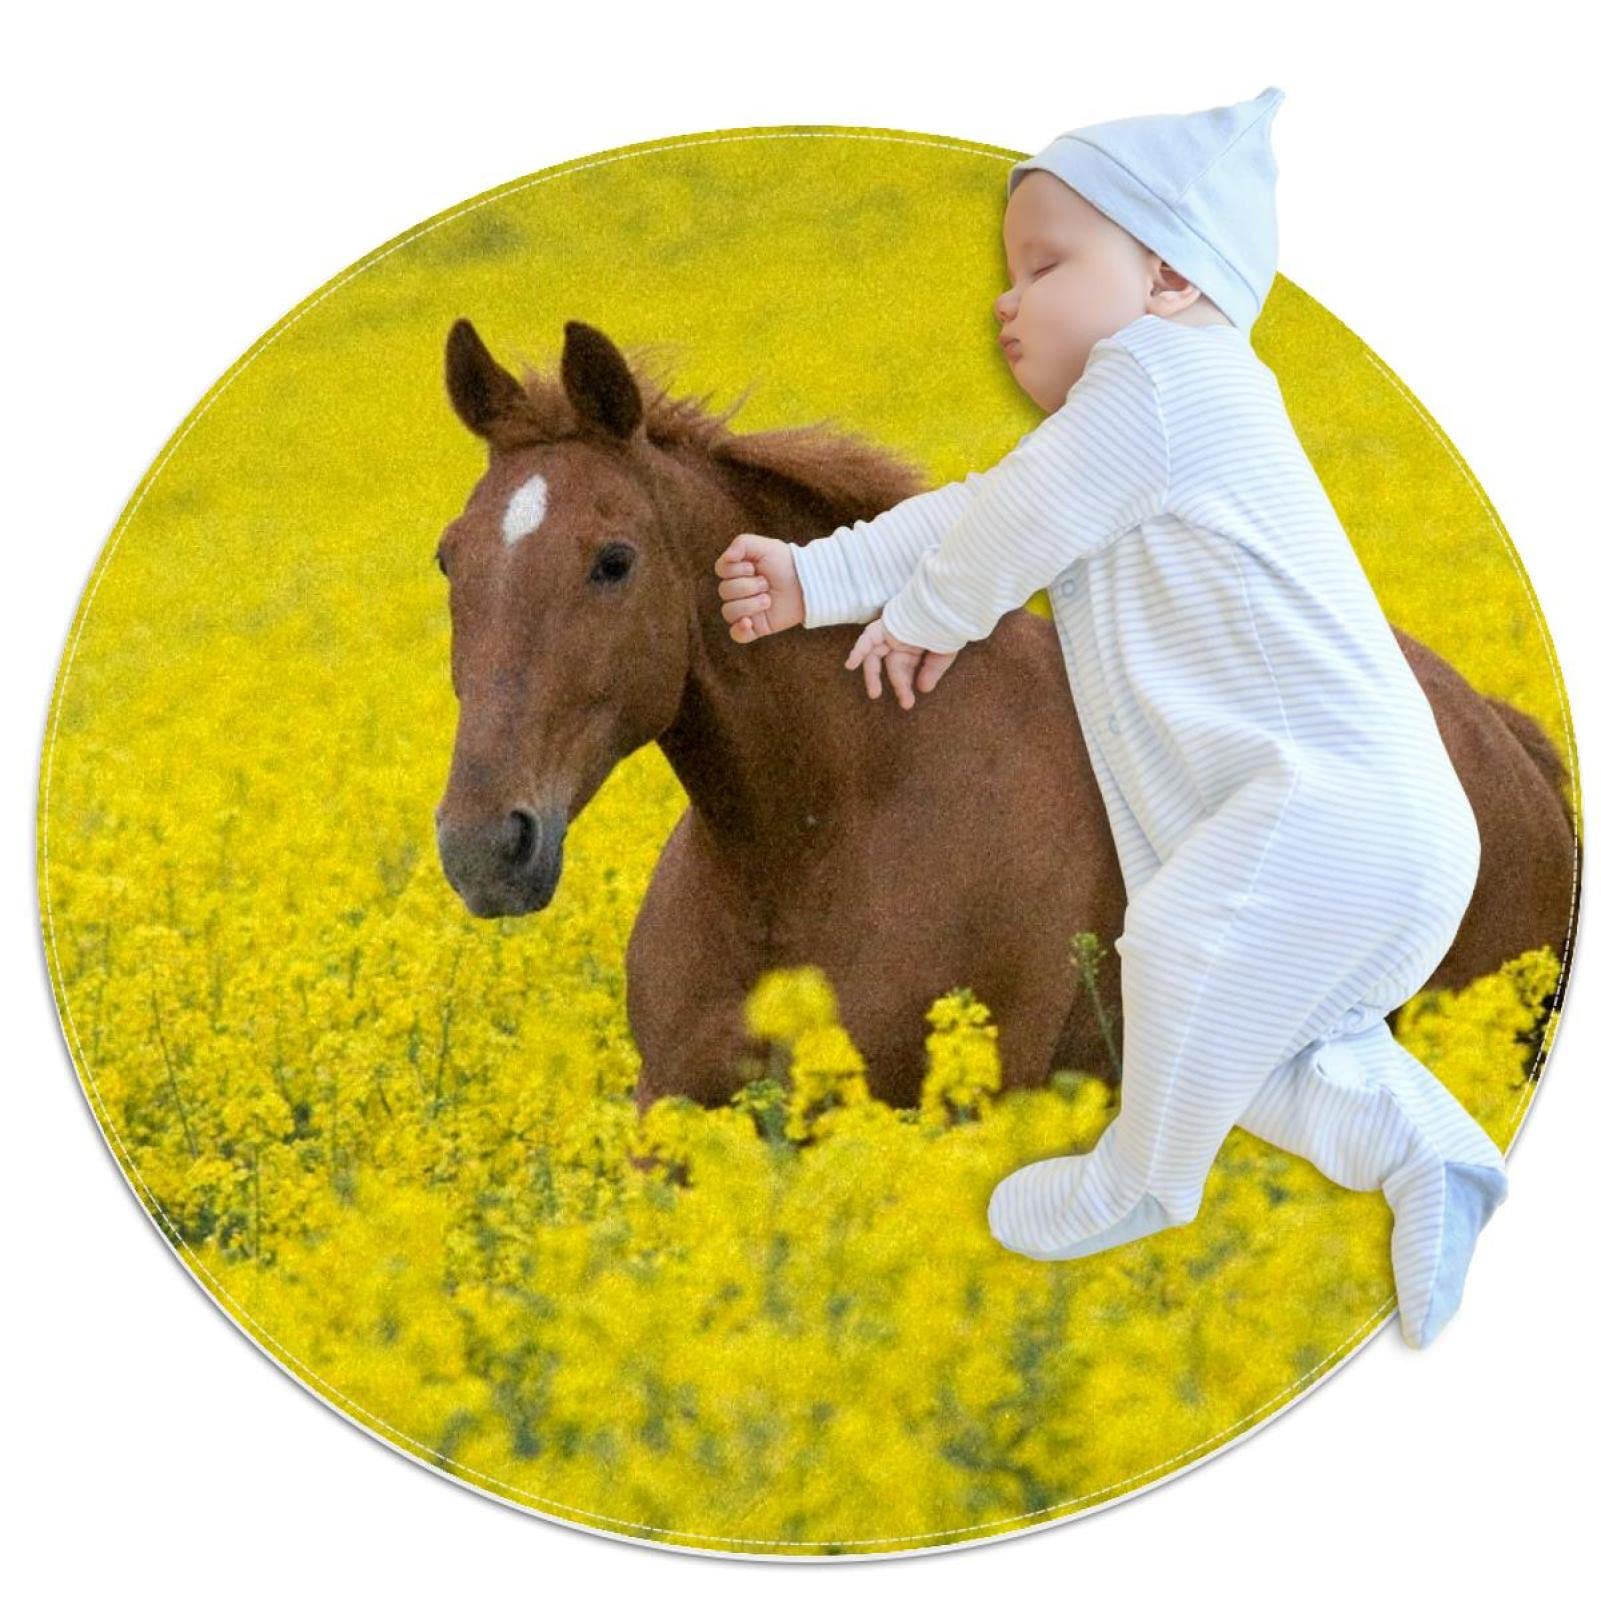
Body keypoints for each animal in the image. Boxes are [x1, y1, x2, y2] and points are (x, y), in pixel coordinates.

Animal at [433, 317, 1580, 1115]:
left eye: (612, 560)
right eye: (450, 557)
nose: (485, 846)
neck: (817, 836)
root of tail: (1501, 740)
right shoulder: (673, 1115)